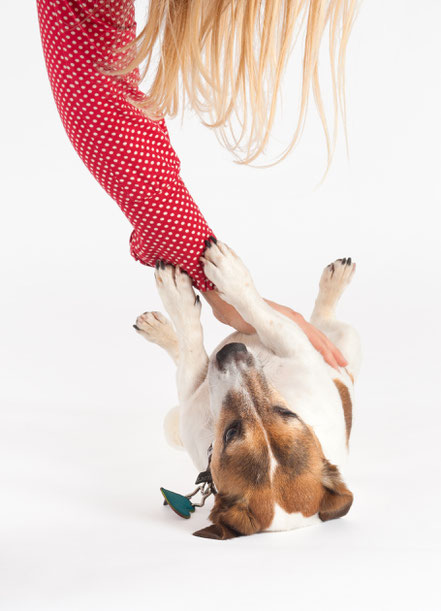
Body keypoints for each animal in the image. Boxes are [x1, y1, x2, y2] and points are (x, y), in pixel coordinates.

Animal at [134, 239, 360, 540]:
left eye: (230, 434)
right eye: (288, 413)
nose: (233, 351)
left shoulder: (289, 343)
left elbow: (206, 332)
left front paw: (212, 277)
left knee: (317, 318)